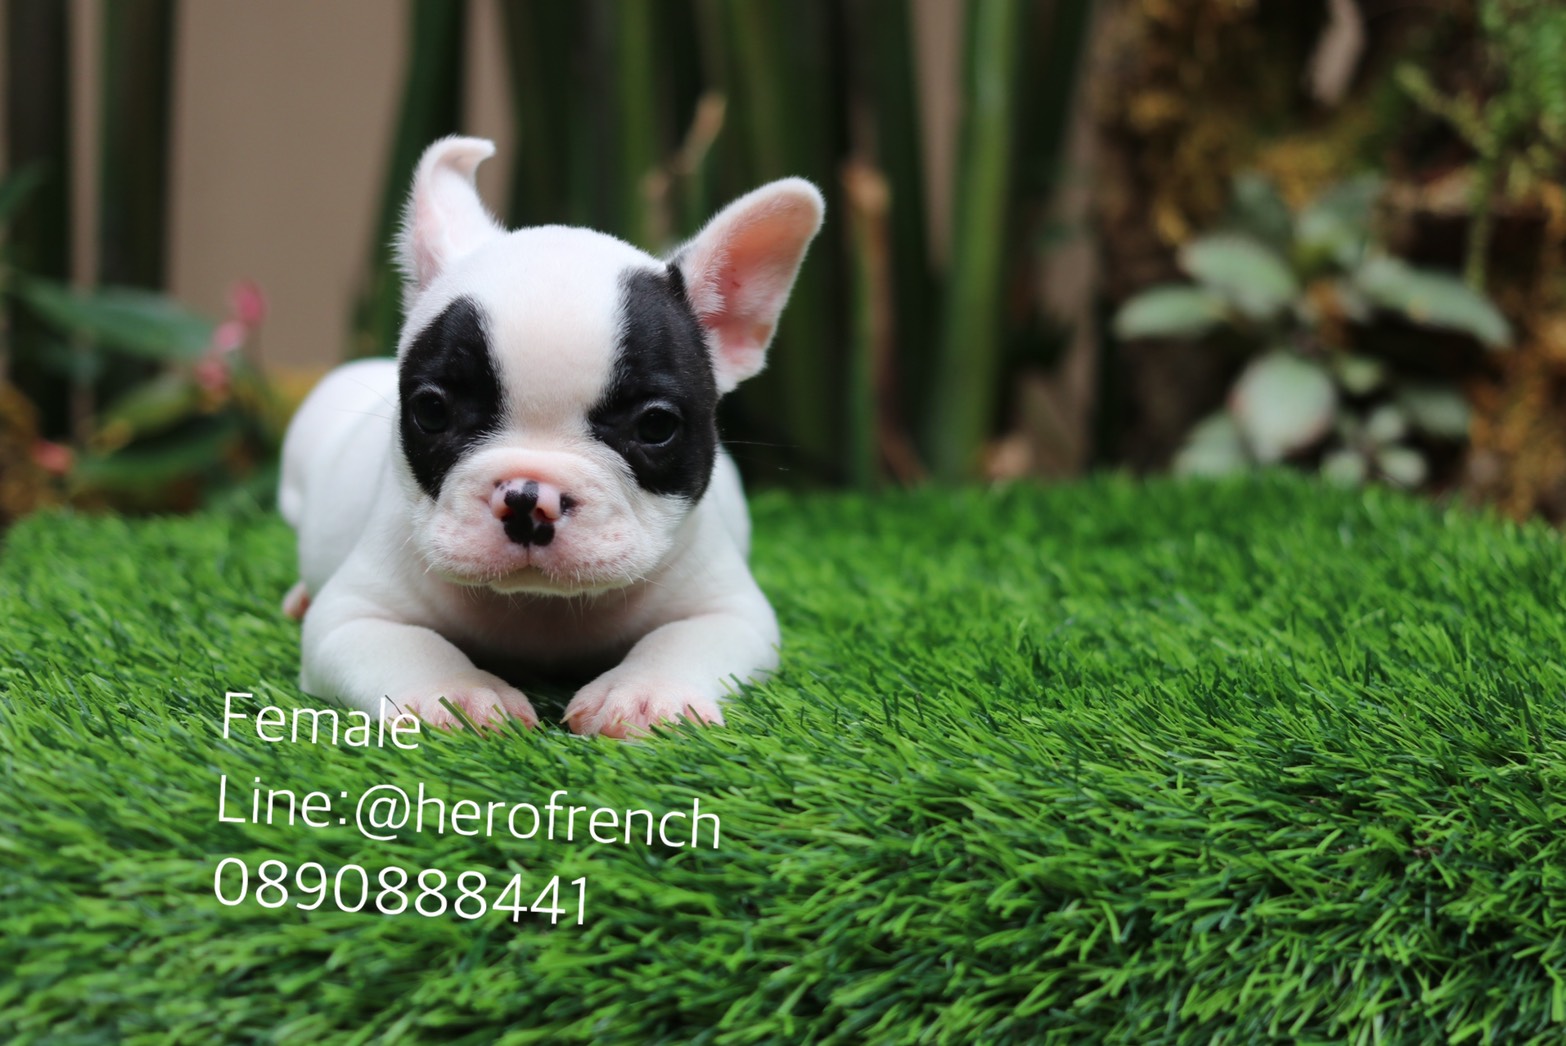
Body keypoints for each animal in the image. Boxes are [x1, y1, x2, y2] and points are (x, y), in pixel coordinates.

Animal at [278, 135, 823, 737]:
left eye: (656, 426)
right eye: (433, 411)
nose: (527, 496)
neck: (542, 605)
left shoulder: (730, 611)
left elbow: (682, 640)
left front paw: (644, 693)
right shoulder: (351, 617)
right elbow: (411, 647)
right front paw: (458, 694)